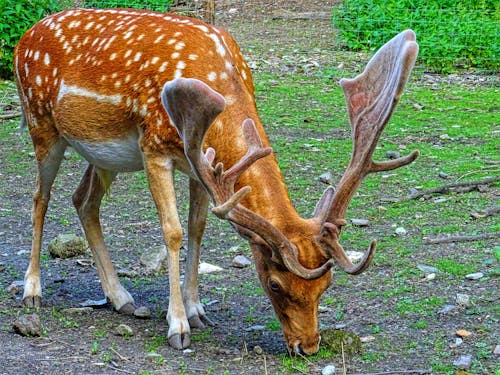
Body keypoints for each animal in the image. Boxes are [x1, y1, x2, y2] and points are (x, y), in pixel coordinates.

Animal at [12, 8, 418, 356]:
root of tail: (25, 36)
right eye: (274, 283)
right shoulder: (153, 147)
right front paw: (177, 326)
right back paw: (32, 291)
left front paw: (196, 310)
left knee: (83, 201)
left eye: (326, 286)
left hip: (102, 155)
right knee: (40, 198)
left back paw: (120, 297)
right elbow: (173, 231)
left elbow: (198, 227)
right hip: (41, 123)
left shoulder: (201, 166)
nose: (308, 346)